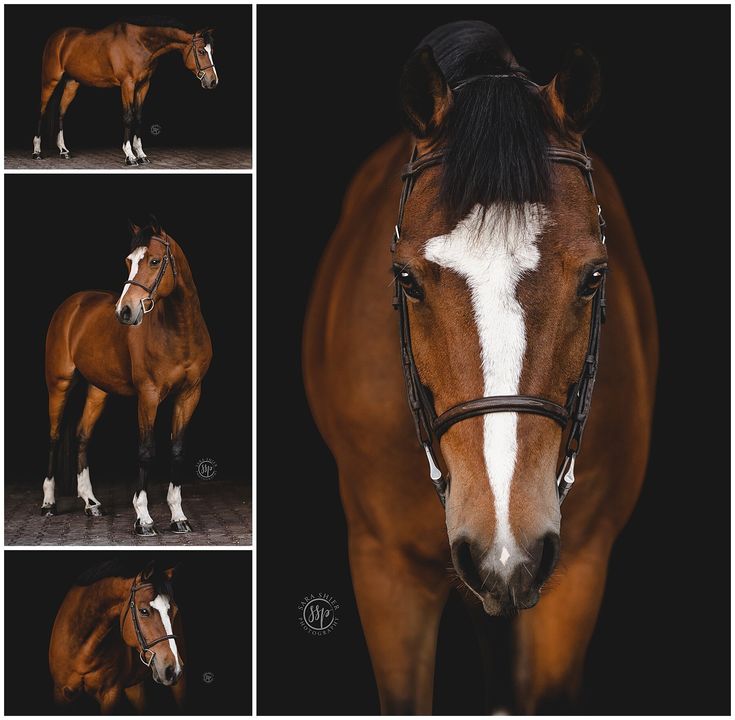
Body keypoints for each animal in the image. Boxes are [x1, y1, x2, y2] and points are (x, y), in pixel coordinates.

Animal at [33, 17, 217, 165]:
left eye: (211, 51)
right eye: (201, 51)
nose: (213, 81)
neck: (140, 44)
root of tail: (57, 37)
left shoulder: (143, 85)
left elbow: (139, 117)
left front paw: (141, 154)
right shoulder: (127, 85)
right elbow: (128, 117)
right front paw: (130, 156)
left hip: (72, 83)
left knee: (61, 113)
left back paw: (64, 151)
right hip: (50, 81)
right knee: (41, 112)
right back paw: (37, 152)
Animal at [42, 217, 211, 536]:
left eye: (155, 261)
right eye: (128, 261)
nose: (125, 311)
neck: (179, 332)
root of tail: (72, 305)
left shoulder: (190, 394)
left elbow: (177, 450)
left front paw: (178, 516)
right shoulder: (148, 396)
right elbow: (146, 452)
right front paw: (143, 518)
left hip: (98, 391)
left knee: (82, 436)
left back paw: (92, 503)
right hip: (59, 384)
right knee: (55, 437)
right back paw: (48, 504)